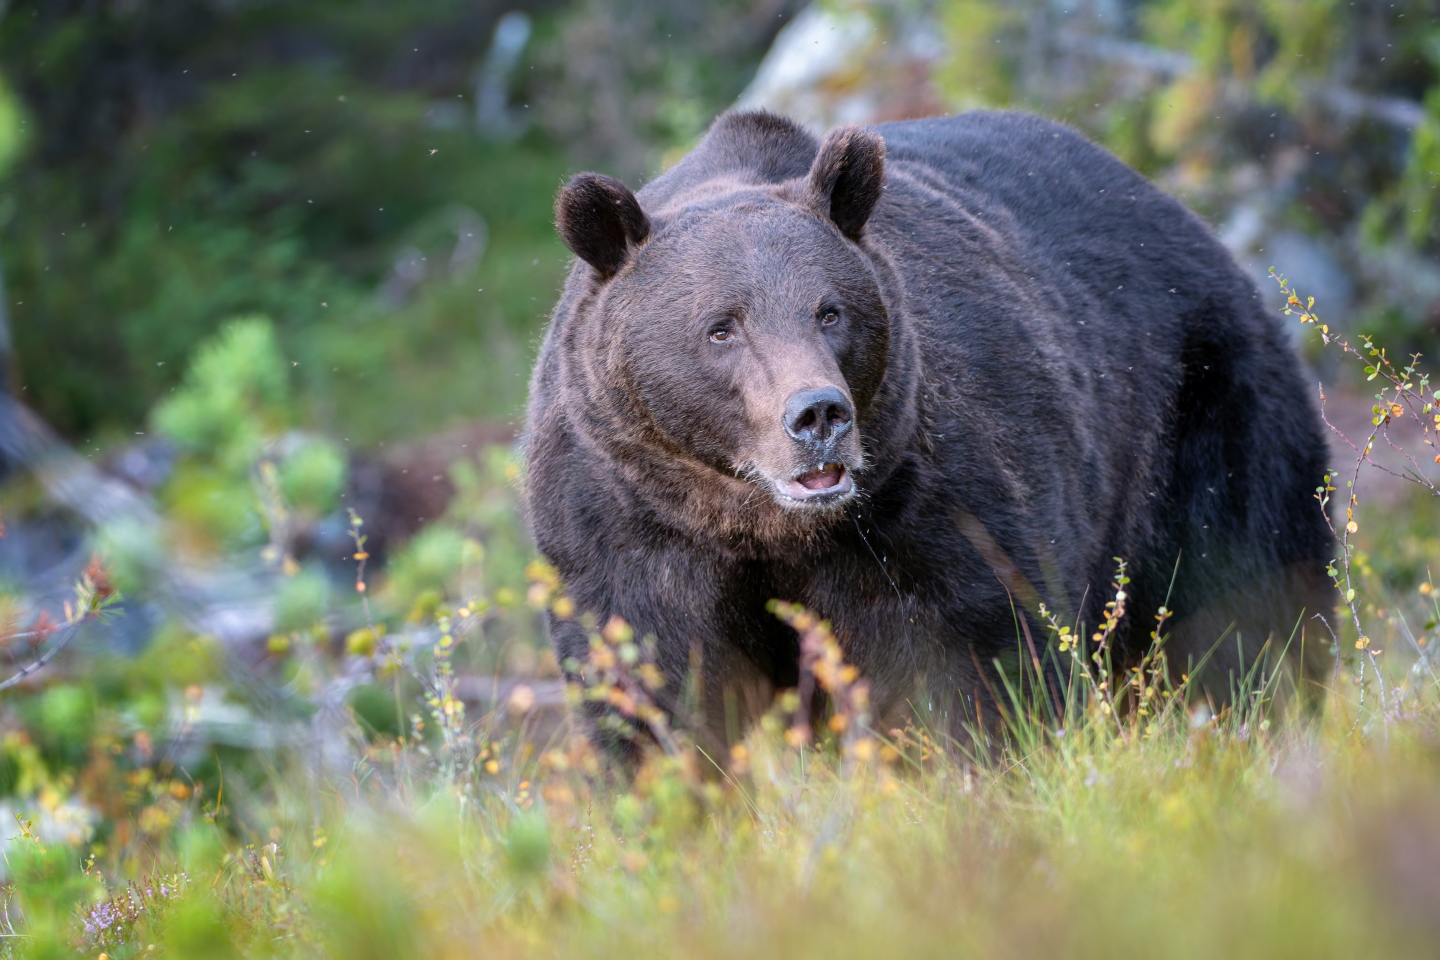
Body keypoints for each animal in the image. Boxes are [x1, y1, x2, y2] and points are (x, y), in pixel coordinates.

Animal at [523, 109, 1334, 757]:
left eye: (829, 311)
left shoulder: (928, 498)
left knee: (1247, 587)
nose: (818, 415)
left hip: (1202, 412)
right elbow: (651, 686)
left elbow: (972, 656)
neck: (759, 525)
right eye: (721, 327)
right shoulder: (624, 526)